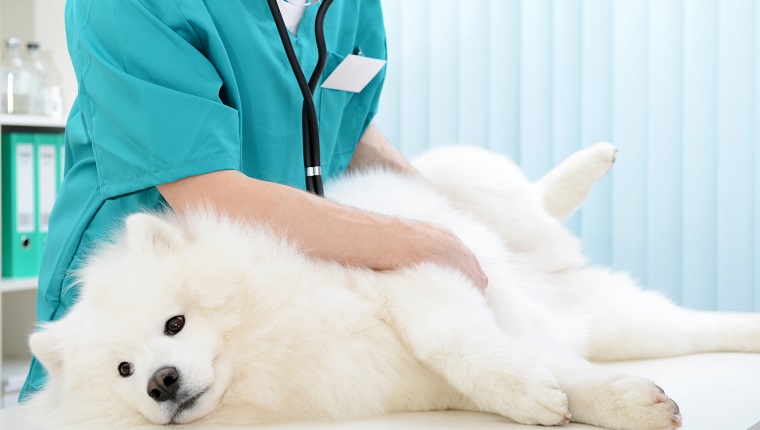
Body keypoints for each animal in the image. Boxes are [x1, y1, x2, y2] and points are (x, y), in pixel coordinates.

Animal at [26, 143, 756, 428]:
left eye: (174, 324)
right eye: (124, 371)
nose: (162, 382)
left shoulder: (419, 274)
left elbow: (453, 340)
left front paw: (529, 392)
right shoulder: (422, 380)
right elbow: (562, 376)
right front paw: (592, 401)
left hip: (475, 188)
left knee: (532, 201)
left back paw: (590, 162)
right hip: (619, 323)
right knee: (688, 325)